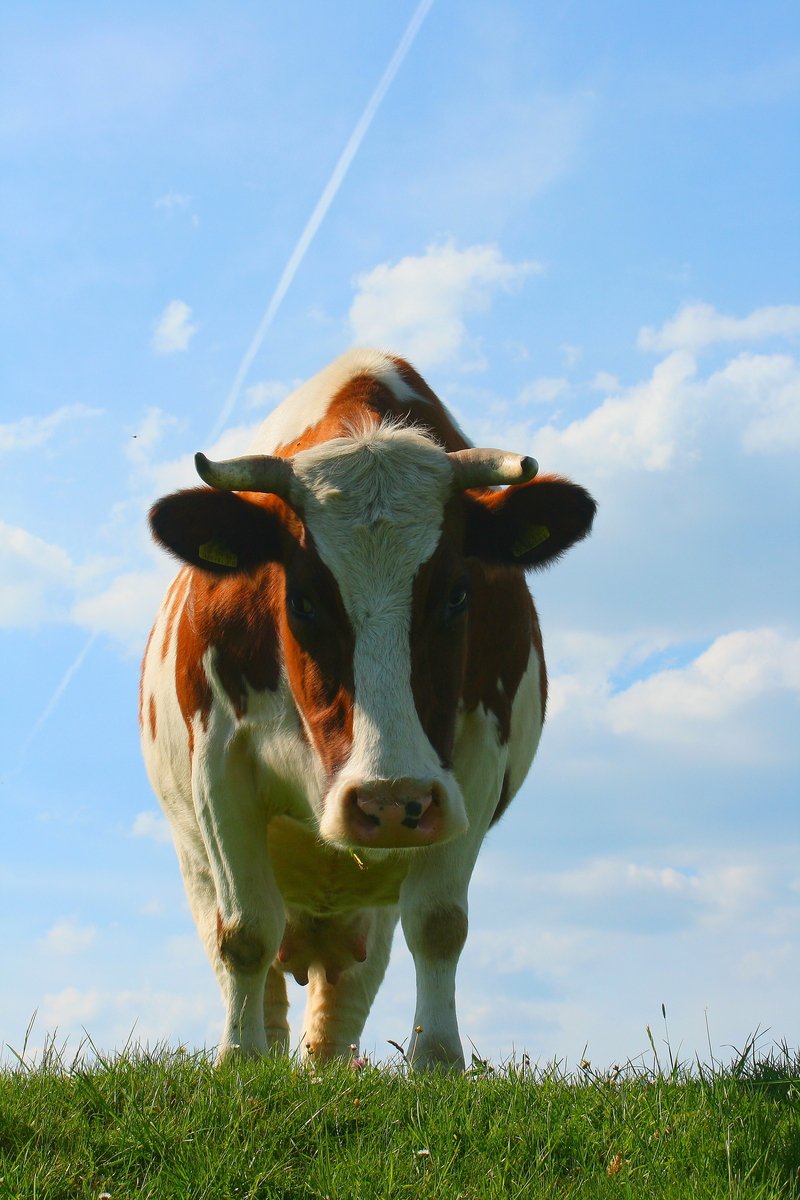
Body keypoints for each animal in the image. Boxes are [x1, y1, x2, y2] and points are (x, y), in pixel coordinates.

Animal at [142, 350, 594, 1070]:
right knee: (256, 958)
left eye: (457, 594)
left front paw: (437, 1059)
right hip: (198, 860)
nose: (387, 800)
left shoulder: (472, 763)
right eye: (302, 600)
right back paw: (263, 1054)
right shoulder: (217, 764)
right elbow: (244, 933)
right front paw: (237, 1061)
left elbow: (439, 925)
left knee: (343, 996)